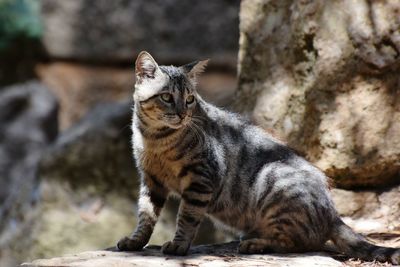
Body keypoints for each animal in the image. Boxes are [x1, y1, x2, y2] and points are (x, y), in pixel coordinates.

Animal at [116, 51, 400, 264]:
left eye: (189, 99)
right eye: (166, 97)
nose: (183, 114)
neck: (155, 139)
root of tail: (332, 212)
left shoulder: (202, 177)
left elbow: (187, 217)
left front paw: (178, 245)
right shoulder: (151, 180)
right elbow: (146, 215)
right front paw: (135, 241)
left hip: (273, 179)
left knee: (300, 242)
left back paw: (256, 244)